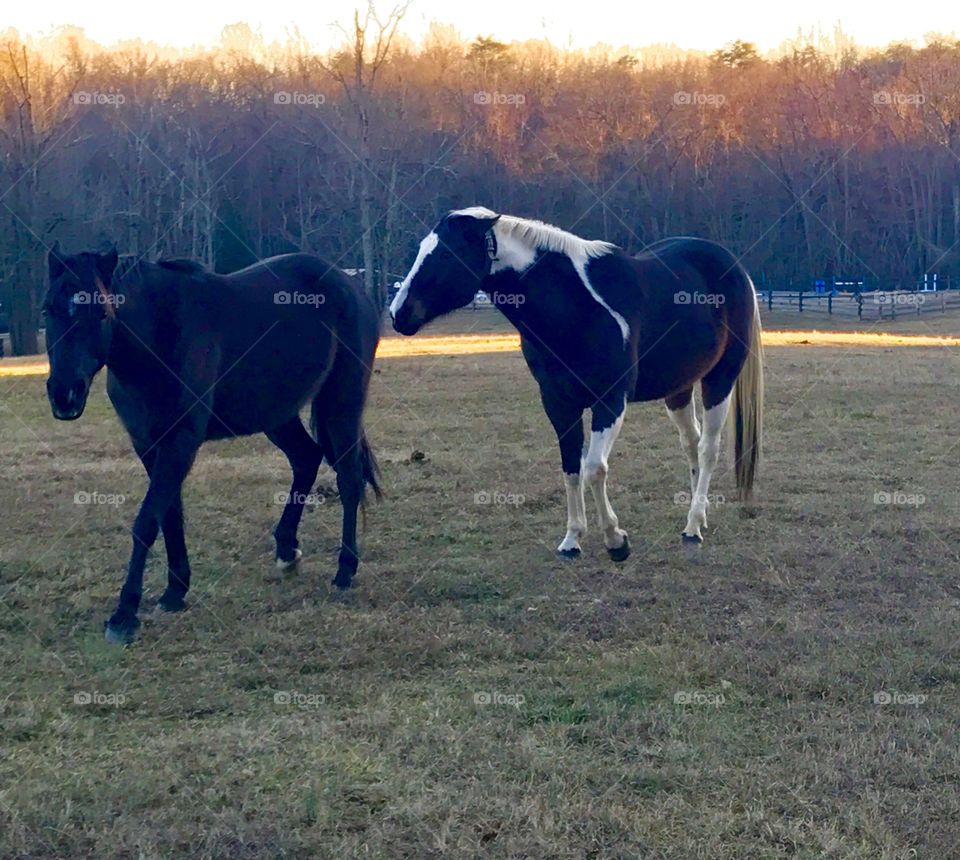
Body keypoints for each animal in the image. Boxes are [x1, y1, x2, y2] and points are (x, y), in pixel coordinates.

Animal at [44, 244, 382, 644]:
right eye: (47, 310)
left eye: (100, 313)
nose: (64, 395)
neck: (160, 337)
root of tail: (350, 285)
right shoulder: (149, 445)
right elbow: (169, 515)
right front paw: (174, 592)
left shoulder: (181, 442)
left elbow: (146, 522)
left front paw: (124, 615)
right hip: (276, 414)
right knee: (306, 459)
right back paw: (287, 550)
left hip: (341, 401)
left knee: (348, 480)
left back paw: (344, 570)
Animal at [390, 207, 762, 560]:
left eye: (446, 254)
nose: (398, 314)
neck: (577, 308)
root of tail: (734, 267)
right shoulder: (558, 403)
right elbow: (571, 468)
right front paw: (572, 540)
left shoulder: (610, 401)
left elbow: (594, 468)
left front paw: (616, 541)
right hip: (678, 390)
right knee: (691, 443)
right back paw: (697, 517)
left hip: (720, 380)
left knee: (708, 448)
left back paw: (693, 527)